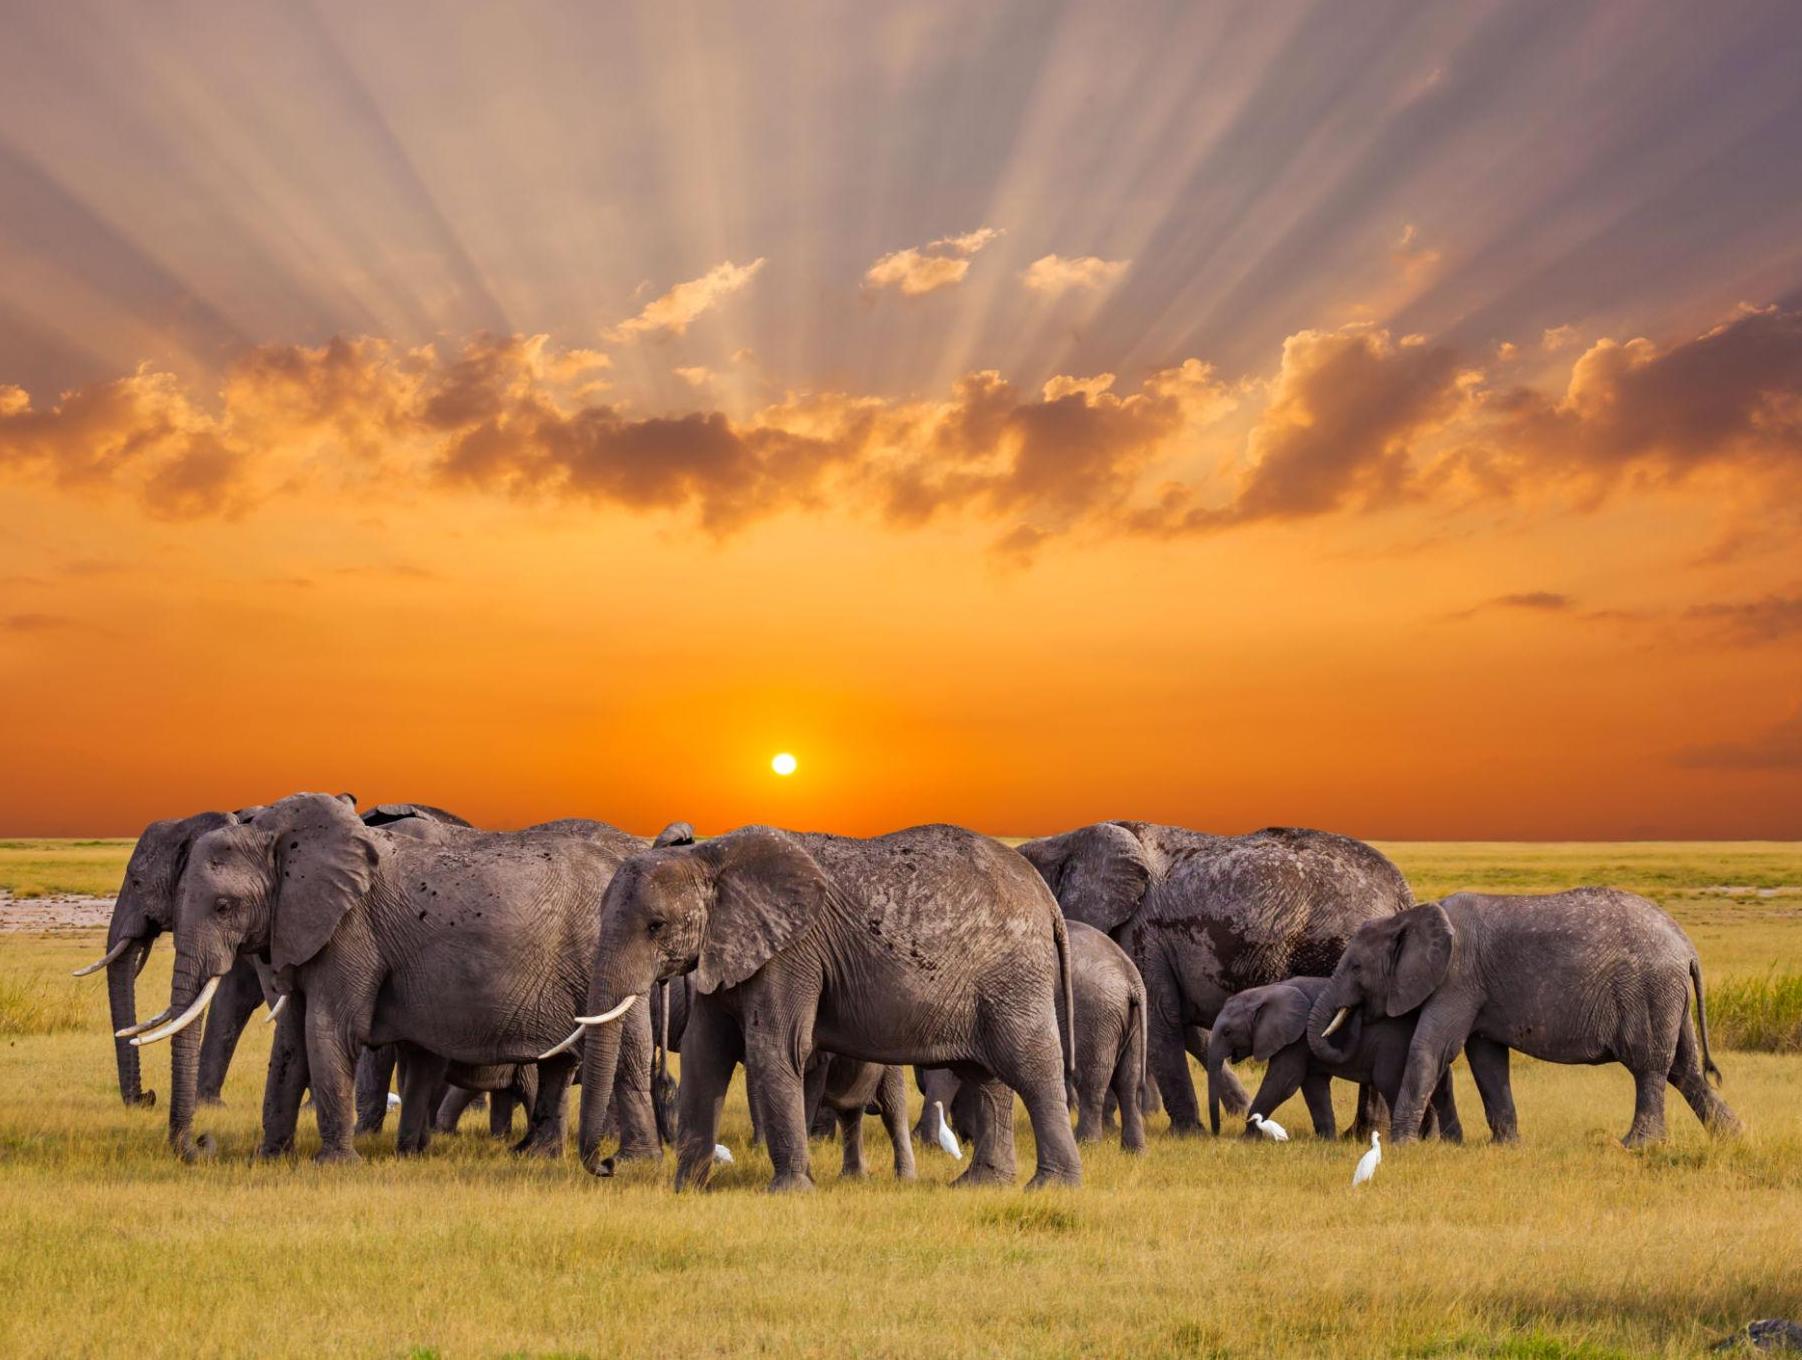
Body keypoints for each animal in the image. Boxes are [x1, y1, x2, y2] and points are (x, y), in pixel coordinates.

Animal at [137, 792, 672, 1163]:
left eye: (224, 906)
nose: (199, 1143)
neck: (280, 836)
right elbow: (290, 1042)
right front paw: (269, 1158)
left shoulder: (352, 932)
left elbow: (330, 1030)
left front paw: (335, 1165)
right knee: (560, 1064)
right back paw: (541, 1156)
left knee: (624, 1053)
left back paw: (631, 1163)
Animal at [562, 823, 1083, 1192]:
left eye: (656, 926)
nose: (606, 1165)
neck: (711, 858)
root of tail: (1045, 896)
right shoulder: (725, 949)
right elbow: (703, 1054)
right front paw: (686, 1190)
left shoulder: (793, 951)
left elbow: (776, 1048)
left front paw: (790, 1192)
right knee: (986, 1075)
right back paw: (980, 1185)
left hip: (1014, 973)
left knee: (1030, 1065)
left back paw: (1050, 1188)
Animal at [1017, 821, 1412, 1135]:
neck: (1066, 840)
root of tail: (1400, 890)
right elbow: (1192, 1032)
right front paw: (1238, 1112)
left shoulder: (1144, 933)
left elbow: (1160, 1020)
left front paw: (1184, 1134)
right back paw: (1361, 1134)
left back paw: (1361, 1134)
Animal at [1205, 976, 1460, 1140]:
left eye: (1227, 1032)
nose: (1215, 1133)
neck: (1265, 991)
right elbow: (1313, 1086)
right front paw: (1327, 1140)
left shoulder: (1296, 1039)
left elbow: (1283, 1083)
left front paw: (1246, 1138)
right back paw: (1430, 1139)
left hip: (1394, 1046)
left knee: (1390, 1082)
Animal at [1309, 889, 1742, 1147]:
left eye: (1355, 967)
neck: (1410, 916)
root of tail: (1686, 946)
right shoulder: (1477, 988)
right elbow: (1486, 1059)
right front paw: (1504, 1147)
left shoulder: (1457, 977)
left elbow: (1433, 1049)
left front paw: (1401, 1146)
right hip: (1669, 997)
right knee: (1685, 1070)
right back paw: (1733, 1137)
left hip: (1649, 990)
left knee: (1649, 1066)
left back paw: (1635, 1146)